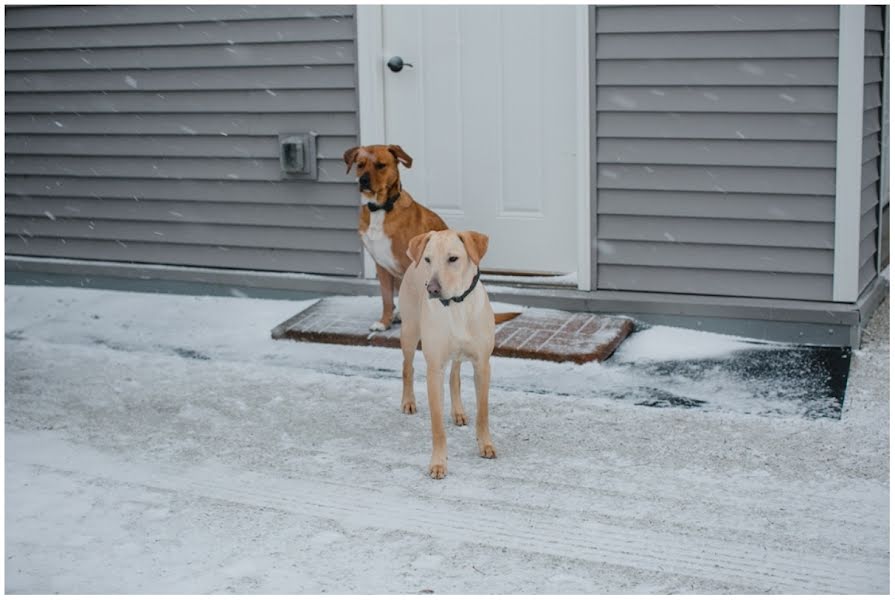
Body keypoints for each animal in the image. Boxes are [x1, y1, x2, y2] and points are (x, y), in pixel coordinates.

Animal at [344, 145, 448, 332]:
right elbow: (386, 299)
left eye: (381, 165)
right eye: (360, 165)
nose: (363, 181)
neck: (380, 209)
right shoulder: (381, 266)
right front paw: (384, 322)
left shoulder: (412, 266)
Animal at [402, 227, 500, 480]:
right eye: (428, 259)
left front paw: (485, 444)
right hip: (409, 331)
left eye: (453, 258)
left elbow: (483, 412)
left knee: (455, 375)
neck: (456, 305)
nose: (432, 289)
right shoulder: (434, 369)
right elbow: (437, 426)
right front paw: (438, 463)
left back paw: (458, 411)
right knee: (407, 367)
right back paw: (408, 401)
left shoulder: (482, 364)